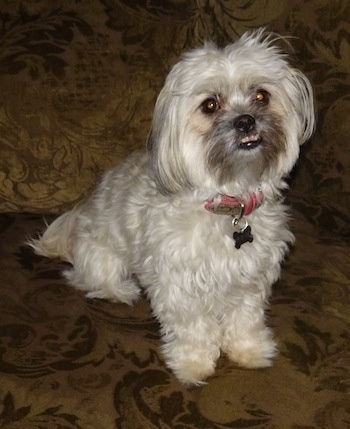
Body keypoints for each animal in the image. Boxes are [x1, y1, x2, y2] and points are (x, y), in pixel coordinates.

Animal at [29, 30, 314, 384]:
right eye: (210, 105)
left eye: (262, 96)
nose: (246, 122)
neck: (226, 200)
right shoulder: (178, 284)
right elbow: (193, 326)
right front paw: (194, 363)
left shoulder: (251, 279)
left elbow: (244, 318)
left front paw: (249, 350)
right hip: (102, 256)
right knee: (90, 278)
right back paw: (121, 290)